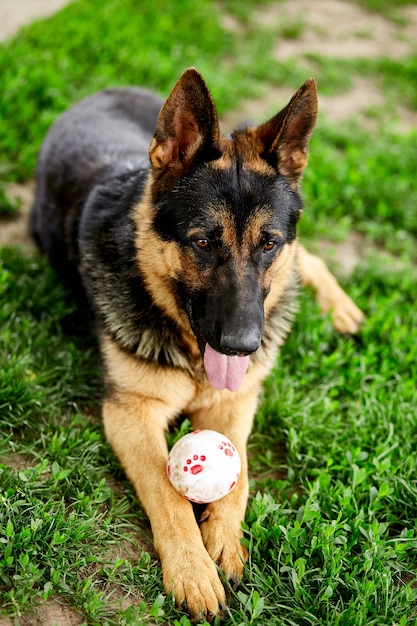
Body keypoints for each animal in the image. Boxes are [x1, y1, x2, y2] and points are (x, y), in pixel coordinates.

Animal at [30, 69, 360, 620]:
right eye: (202, 242)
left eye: (269, 243)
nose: (243, 347)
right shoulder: (132, 413)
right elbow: (168, 492)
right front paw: (192, 570)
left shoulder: (236, 403)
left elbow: (239, 476)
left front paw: (225, 542)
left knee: (308, 256)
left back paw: (341, 308)